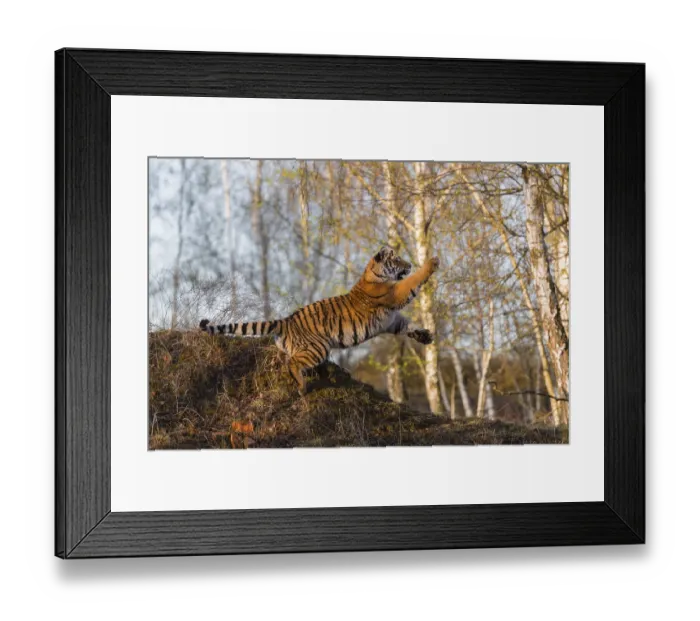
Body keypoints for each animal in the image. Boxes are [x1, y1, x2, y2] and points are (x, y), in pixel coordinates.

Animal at [200, 246, 440, 395]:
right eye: (397, 259)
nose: (408, 265)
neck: (375, 274)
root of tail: (286, 321)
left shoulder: (391, 321)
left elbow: (408, 327)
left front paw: (425, 336)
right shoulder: (396, 294)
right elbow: (413, 281)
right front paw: (432, 262)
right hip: (317, 348)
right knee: (292, 363)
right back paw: (302, 386)